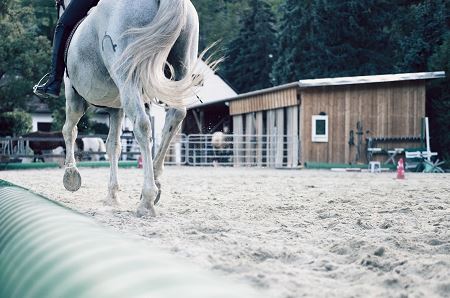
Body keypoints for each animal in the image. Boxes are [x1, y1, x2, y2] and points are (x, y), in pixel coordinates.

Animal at [61, 0, 206, 215]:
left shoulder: (74, 97)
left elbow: (69, 131)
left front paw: (71, 174)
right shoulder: (116, 107)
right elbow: (113, 146)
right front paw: (112, 195)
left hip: (127, 77)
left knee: (142, 125)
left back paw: (147, 199)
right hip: (181, 65)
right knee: (176, 115)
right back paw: (156, 182)